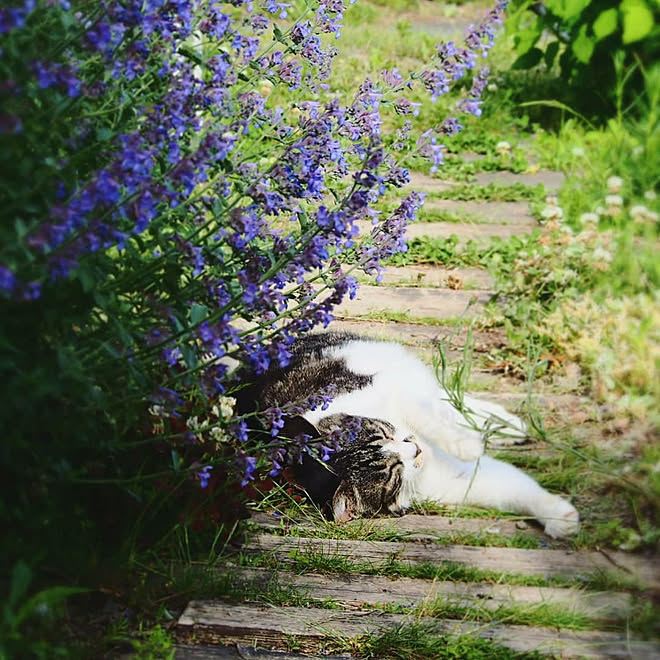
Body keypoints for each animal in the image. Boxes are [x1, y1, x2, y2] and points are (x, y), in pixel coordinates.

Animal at [241, 332, 576, 540]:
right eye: (393, 472)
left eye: (383, 433)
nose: (413, 448)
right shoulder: (458, 481)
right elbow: (513, 488)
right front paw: (559, 517)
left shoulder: (394, 390)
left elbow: (427, 414)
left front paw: (466, 444)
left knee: (449, 401)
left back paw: (504, 425)